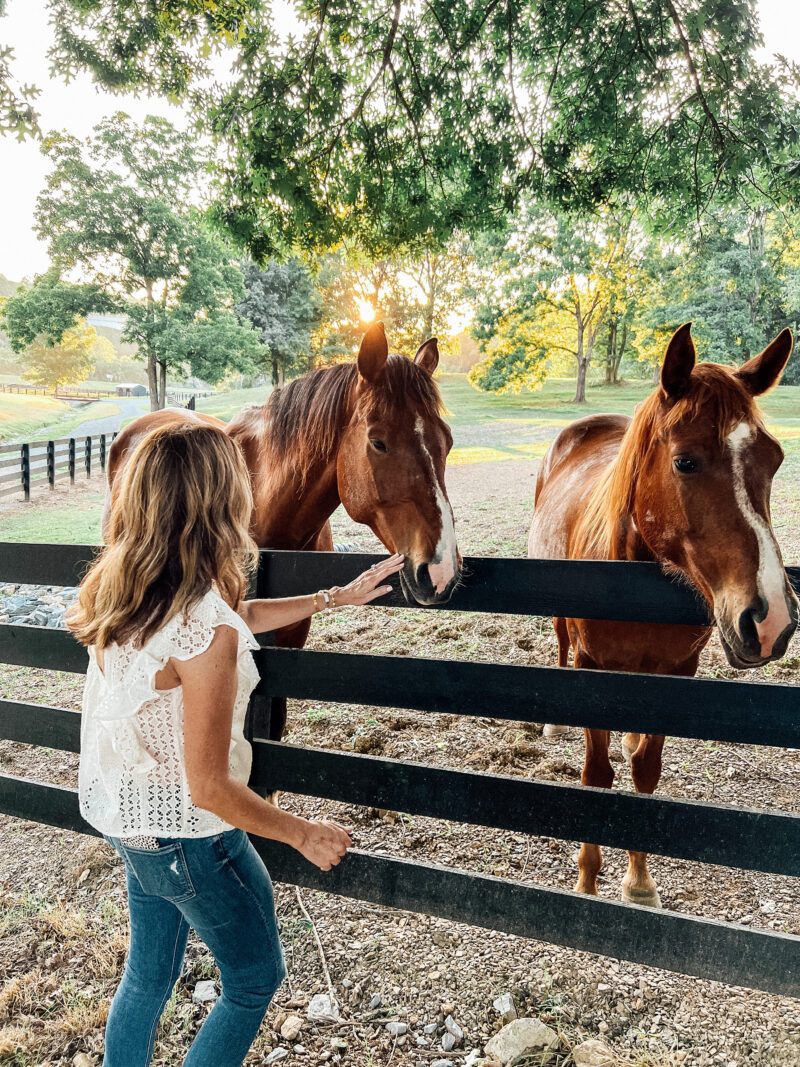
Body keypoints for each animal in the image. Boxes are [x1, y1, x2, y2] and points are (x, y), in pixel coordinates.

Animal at [529, 324, 797, 909]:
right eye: (685, 462)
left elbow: (646, 775)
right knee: (558, 643)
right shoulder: (592, 666)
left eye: (775, 459)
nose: (770, 621)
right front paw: (587, 878)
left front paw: (639, 881)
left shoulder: (678, 674)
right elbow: (596, 774)